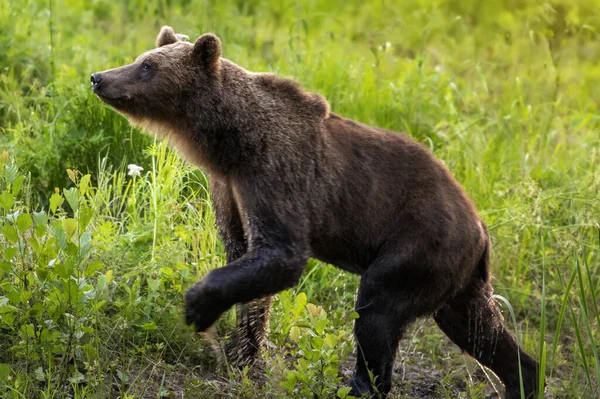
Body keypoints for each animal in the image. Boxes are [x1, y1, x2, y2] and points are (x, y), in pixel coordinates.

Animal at [92, 26, 540, 398]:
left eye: (147, 66)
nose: (99, 76)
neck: (231, 141)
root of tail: (480, 226)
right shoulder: (230, 187)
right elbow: (246, 258)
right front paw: (243, 354)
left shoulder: (275, 172)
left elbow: (282, 253)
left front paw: (198, 308)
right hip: (455, 275)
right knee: (477, 326)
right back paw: (523, 376)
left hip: (420, 241)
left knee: (378, 310)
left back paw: (361, 385)